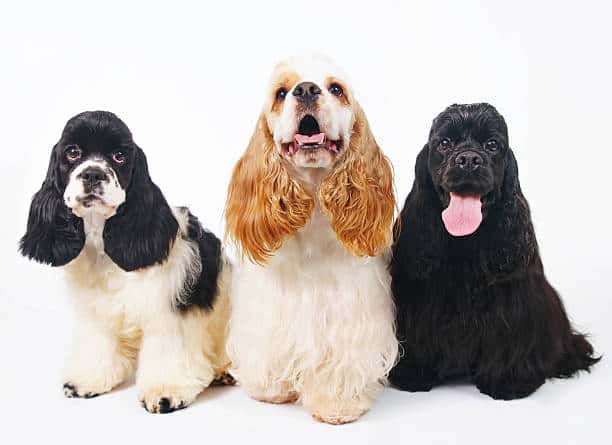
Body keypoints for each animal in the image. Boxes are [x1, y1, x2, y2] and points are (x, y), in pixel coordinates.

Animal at [20, 110, 232, 412]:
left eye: (119, 155)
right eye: (72, 152)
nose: (93, 173)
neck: (103, 246)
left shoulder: (166, 311)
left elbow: (167, 351)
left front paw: (166, 392)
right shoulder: (97, 313)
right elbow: (98, 345)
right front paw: (88, 380)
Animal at [390, 104, 600, 398]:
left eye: (492, 145)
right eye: (444, 143)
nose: (468, 159)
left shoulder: (515, 304)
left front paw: (508, 382)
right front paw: (413, 373)